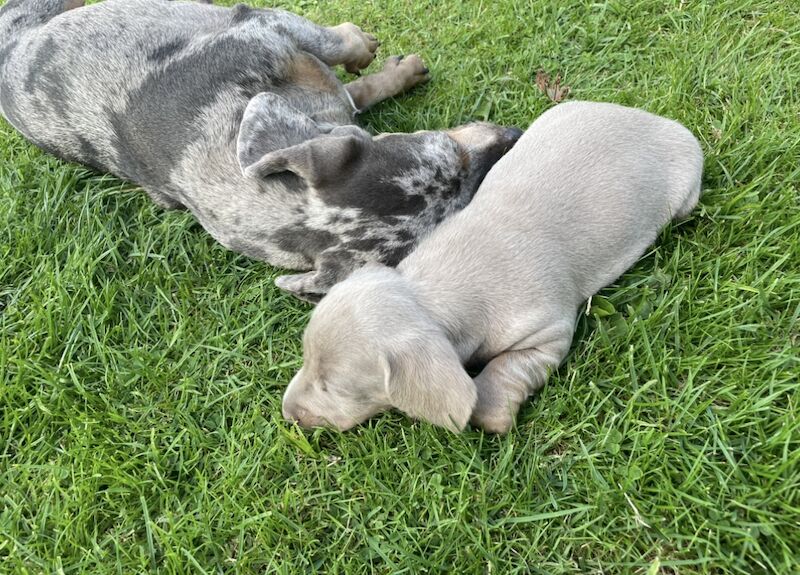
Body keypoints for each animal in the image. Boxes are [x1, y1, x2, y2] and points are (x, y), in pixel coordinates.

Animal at [0, 0, 520, 304]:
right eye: (449, 153)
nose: (515, 136)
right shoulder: (264, 25)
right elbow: (340, 42)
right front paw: (373, 52)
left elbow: (351, 91)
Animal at [282, 100, 708, 432]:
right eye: (306, 359)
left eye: (332, 388)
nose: (287, 414)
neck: (431, 288)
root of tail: (656, 119)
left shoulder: (549, 330)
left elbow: (509, 368)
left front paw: (491, 413)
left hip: (685, 189)